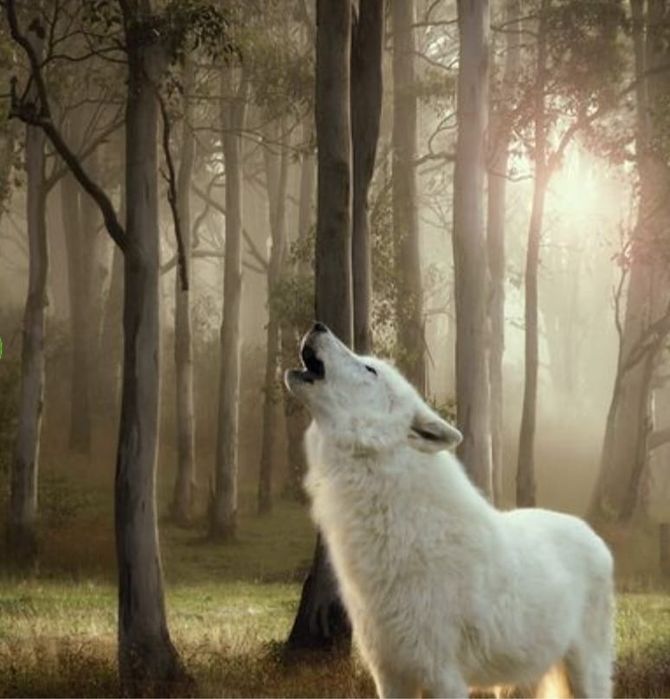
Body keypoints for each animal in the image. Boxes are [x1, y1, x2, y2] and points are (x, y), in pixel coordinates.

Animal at [285, 322, 614, 699]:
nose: (318, 325)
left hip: (587, 675)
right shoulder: (389, 675)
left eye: (370, 370)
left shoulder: (443, 677)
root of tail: (590, 532)